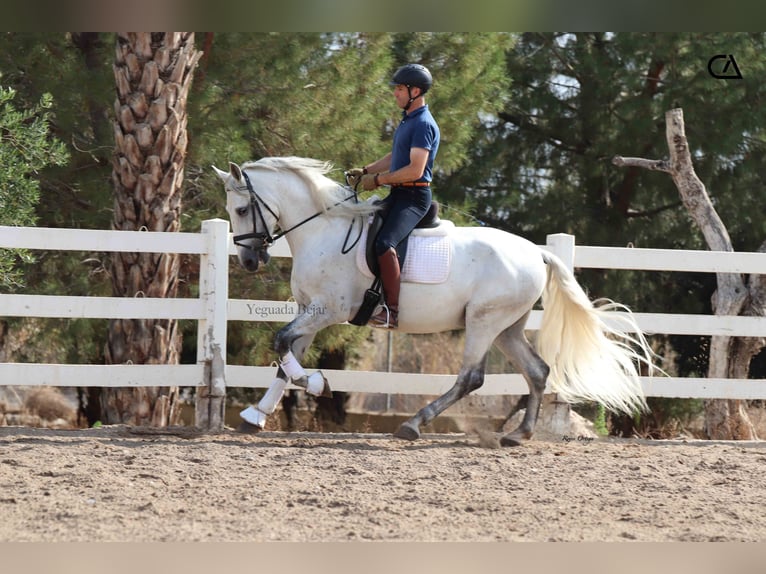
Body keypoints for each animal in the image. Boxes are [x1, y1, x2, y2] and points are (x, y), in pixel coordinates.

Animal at [214, 159, 660, 450]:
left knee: (471, 378)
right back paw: (517, 435)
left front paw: (317, 384)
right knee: (537, 371)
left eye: (242, 209)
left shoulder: (327, 311)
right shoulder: (308, 311)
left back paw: (414, 425)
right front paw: (256, 416)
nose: (249, 261)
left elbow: (280, 343)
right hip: (507, 328)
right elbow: (284, 357)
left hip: (483, 322)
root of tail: (538, 252)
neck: (323, 230)